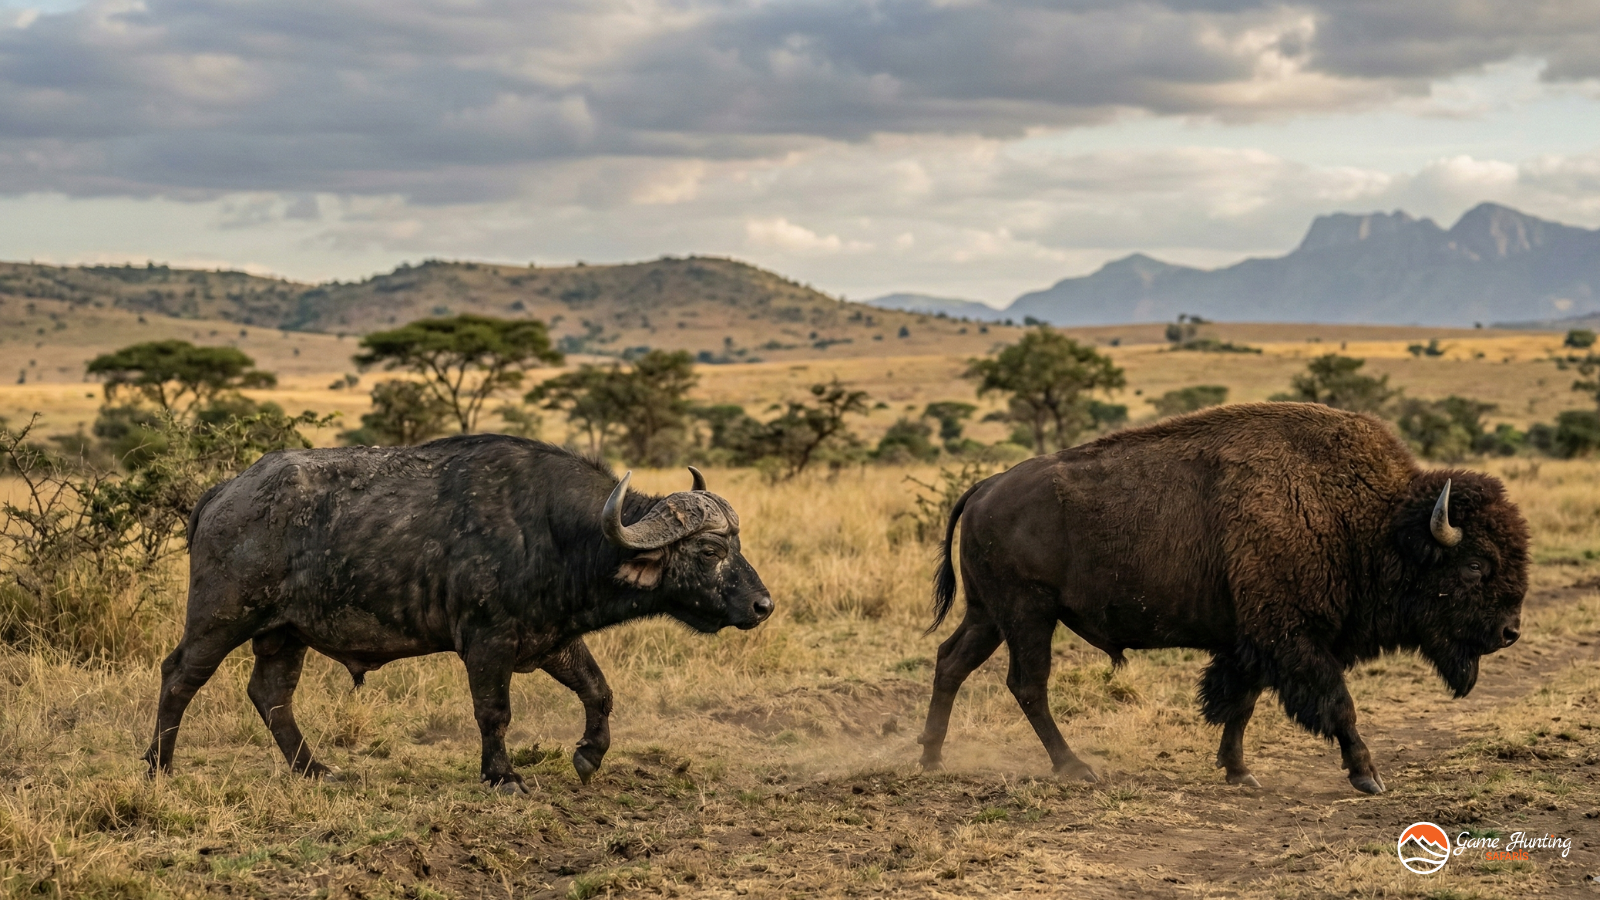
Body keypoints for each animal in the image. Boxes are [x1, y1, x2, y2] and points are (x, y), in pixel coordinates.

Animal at [145, 435, 771, 791]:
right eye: (710, 551)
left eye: (737, 545)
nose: (763, 605)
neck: (557, 533)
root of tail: (224, 492)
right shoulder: (487, 645)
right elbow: (494, 713)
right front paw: (503, 776)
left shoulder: (552, 639)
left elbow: (599, 690)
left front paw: (590, 754)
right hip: (221, 618)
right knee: (178, 677)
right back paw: (158, 766)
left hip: (283, 633)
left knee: (271, 694)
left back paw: (314, 770)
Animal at [917, 403, 1528, 794]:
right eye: (1477, 564)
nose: (1509, 632)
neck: (1371, 521)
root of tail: (985, 487)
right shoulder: (1293, 639)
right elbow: (1338, 703)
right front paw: (1368, 776)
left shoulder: (1252, 642)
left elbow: (1241, 705)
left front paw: (1239, 773)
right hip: (1028, 615)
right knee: (1027, 684)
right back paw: (1075, 769)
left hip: (989, 615)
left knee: (951, 663)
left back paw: (931, 760)